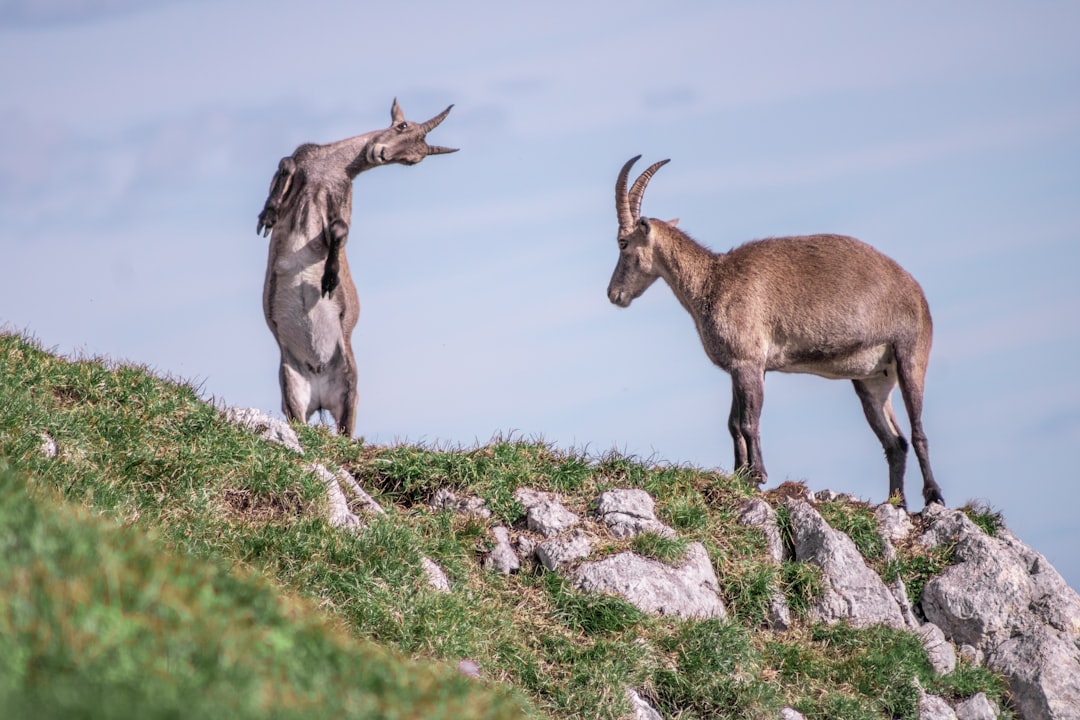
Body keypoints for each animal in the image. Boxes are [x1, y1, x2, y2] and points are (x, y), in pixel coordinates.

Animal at [255, 98, 455, 436]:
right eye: (401, 126)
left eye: (412, 160)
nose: (382, 153)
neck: (327, 169)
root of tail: (319, 391)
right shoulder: (301, 161)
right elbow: (286, 162)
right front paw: (267, 216)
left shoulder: (339, 202)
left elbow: (339, 230)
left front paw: (328, 279)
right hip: (291, 388)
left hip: (348, 389)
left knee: (346, 430)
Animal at [609, 157, 946, 507]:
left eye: (622, 242)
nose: (614, 293)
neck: (711, 281)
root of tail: (916, 293)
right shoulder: (741, 368)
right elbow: (733, 423)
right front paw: (741, 475)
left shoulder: (749, 362)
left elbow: (748, 420)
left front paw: (758, 474)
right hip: (873, 381)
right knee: (895, 442)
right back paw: (896, 502)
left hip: (910, 357)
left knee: (918, 432)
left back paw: (933, 495)